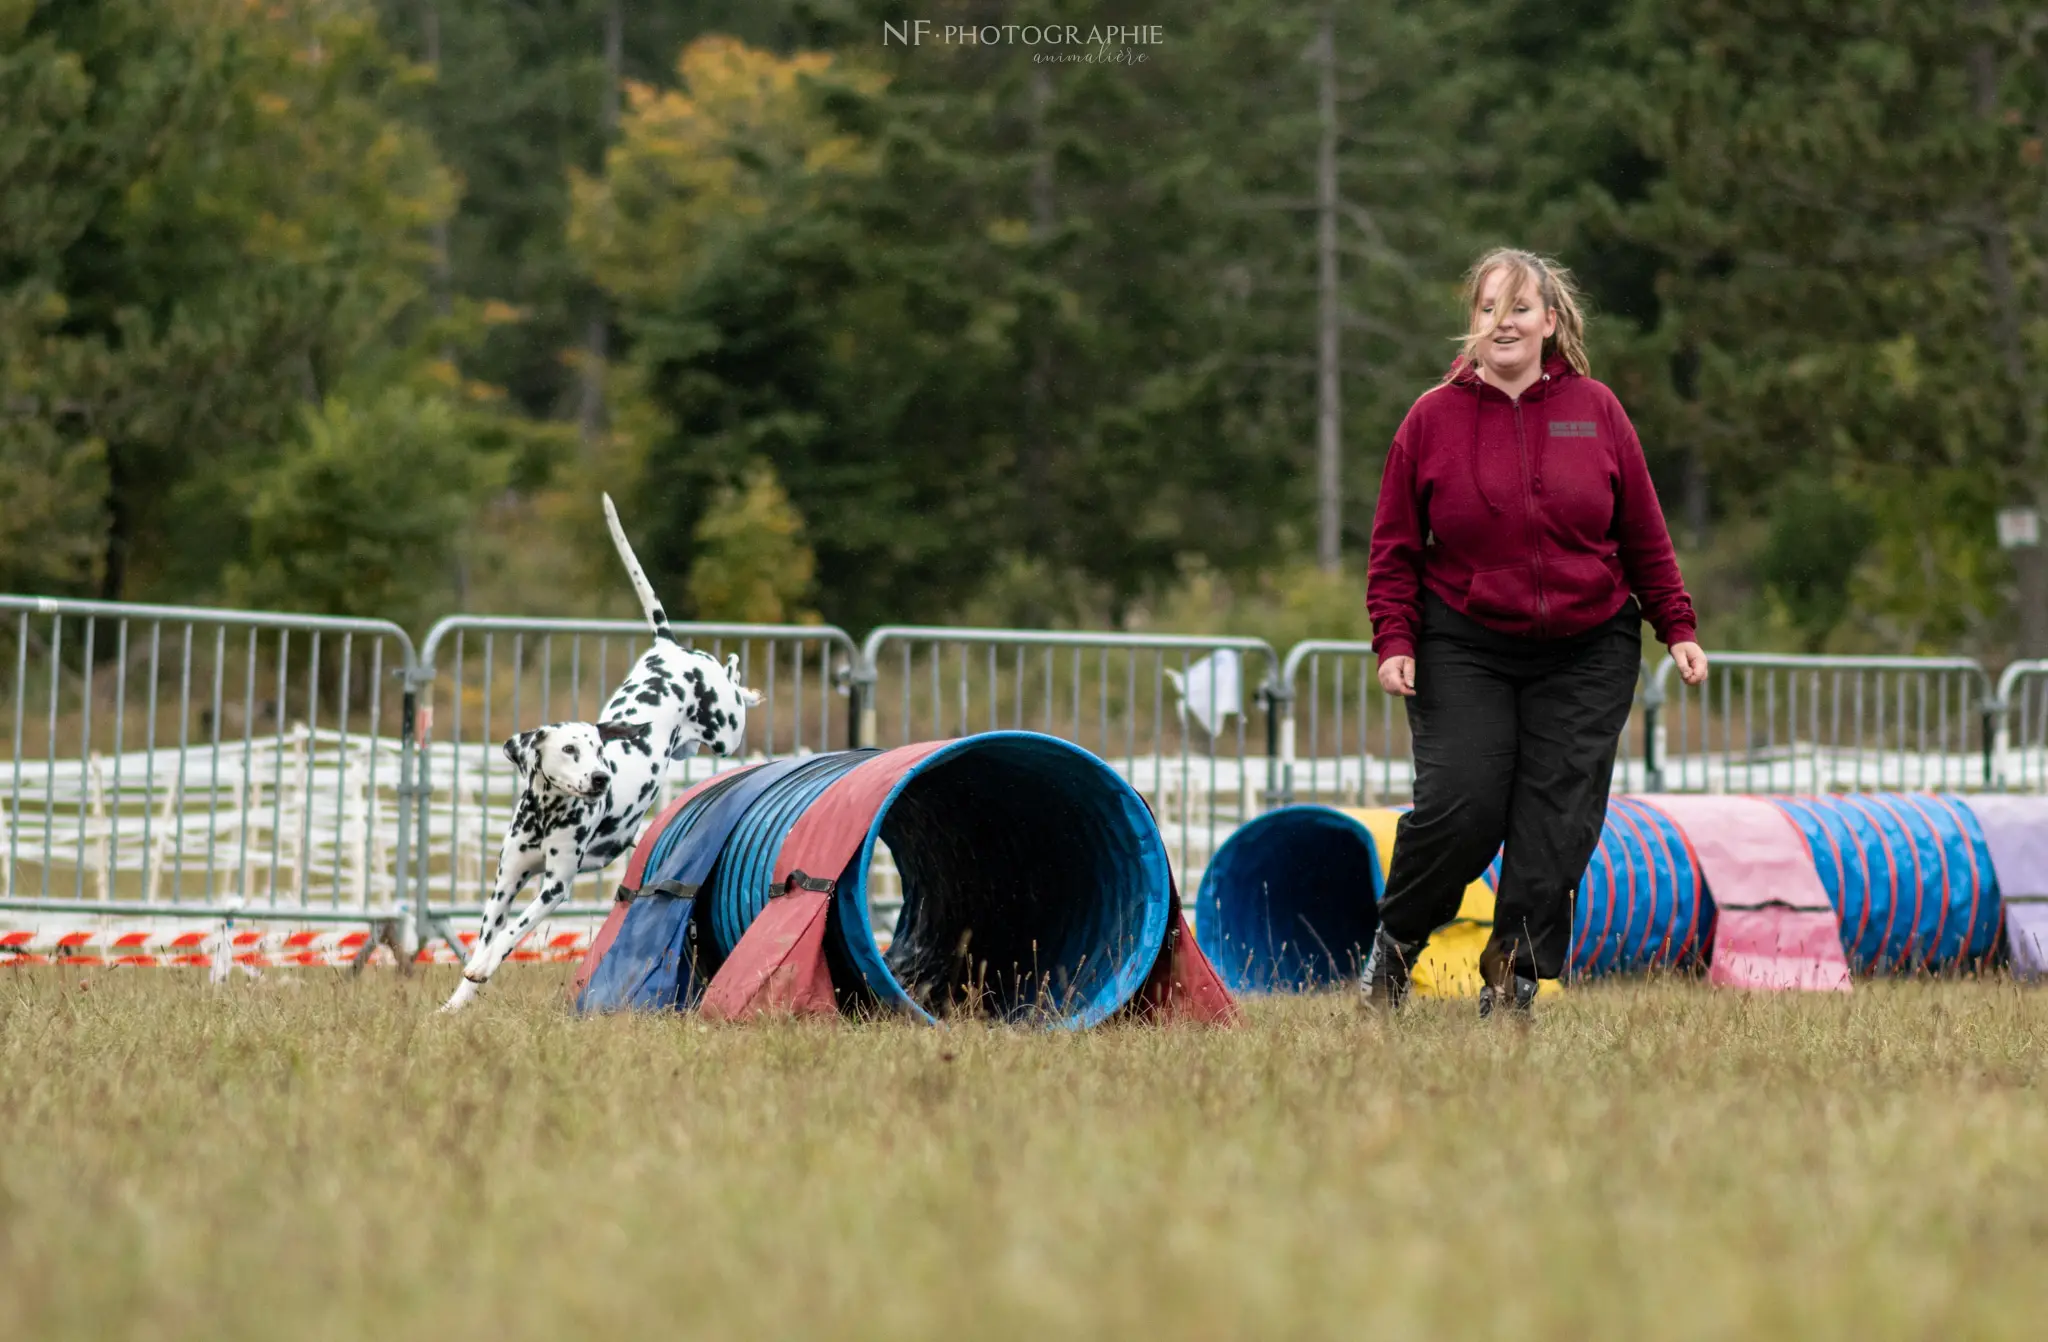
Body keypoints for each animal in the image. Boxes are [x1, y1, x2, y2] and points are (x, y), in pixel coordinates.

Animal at [444, 497, 765, 1012]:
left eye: (598, 748)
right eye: (570, 748)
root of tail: (669, 648)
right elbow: (487, 935)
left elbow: (510, 936)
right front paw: (457, 999)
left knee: (734, 680)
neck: (547, 814)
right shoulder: (506, 880)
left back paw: (743, 679)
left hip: (725, 731)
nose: (600, 779)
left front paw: (485, 965)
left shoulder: (554, 887)